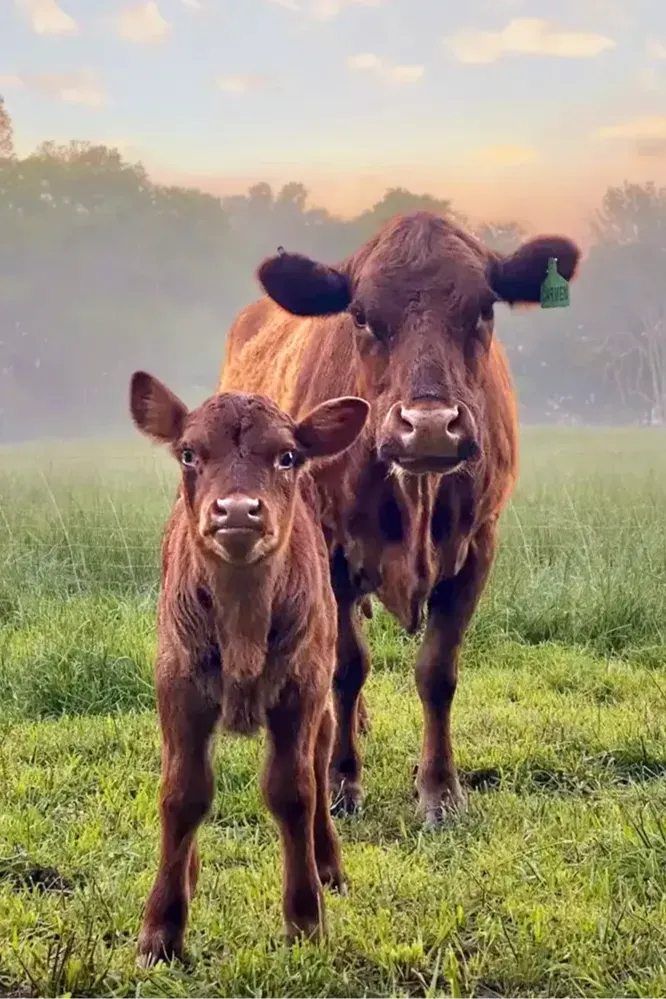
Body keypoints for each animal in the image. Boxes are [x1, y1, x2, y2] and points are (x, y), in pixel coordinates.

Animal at [129, 371, 369, 964]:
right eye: (189, 453)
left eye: (287, 456)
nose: (237, 511)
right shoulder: (178, 685)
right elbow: (182, 793)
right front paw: (161, 929)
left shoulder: (302, 688)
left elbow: (294, 791)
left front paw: (306, 919)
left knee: (319, 762)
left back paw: (328, 864)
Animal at [218, 211, 581, 827]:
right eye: (361, 315)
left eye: (484, 309)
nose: (429, 426)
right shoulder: (333, 549)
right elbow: (347, 665)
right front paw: (342, 781)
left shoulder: (478, 547)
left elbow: (438, 672)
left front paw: (440, 790)